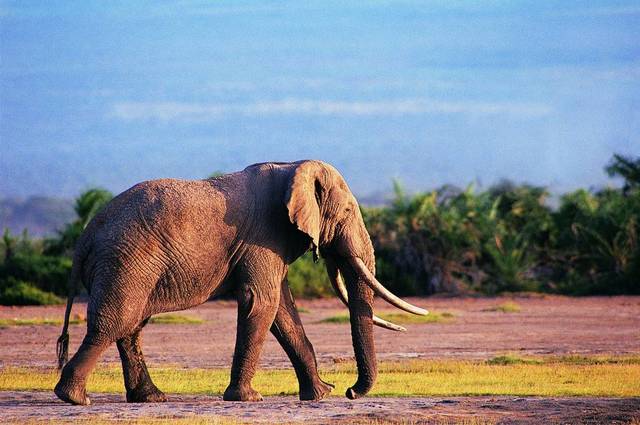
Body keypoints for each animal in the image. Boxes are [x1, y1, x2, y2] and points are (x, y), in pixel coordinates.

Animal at [53, 159, 424, 404]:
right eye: (347, 212)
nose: (349, 392)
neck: (293, 166)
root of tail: (85, 237)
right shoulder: (264, 236)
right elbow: (263, 302)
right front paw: (248, 398)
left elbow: (282, 309)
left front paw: (318, 395)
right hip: (125, 262)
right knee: (115, 323)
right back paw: (74, 398)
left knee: (130, 327)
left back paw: (151, 398)